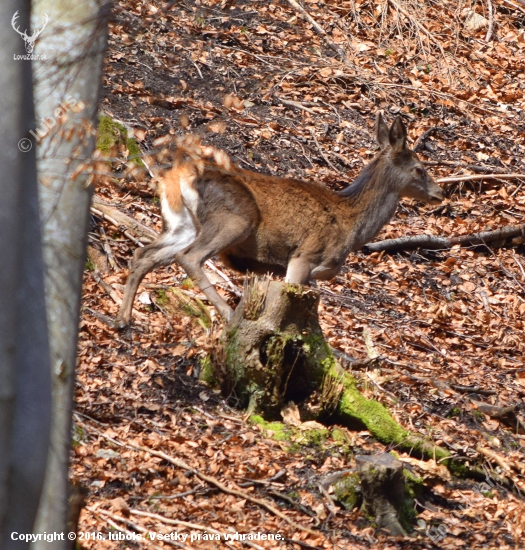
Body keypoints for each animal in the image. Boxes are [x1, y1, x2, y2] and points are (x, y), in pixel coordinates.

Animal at [114, 112, 442, 328]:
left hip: (180, 224)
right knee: (190, 257)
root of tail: (177, 175)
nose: (439, 193)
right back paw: (229, 314)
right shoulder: (304, 256)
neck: (352, 224)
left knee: (143, 254)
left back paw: (123, 319)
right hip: (234, 219)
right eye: (419, 169)